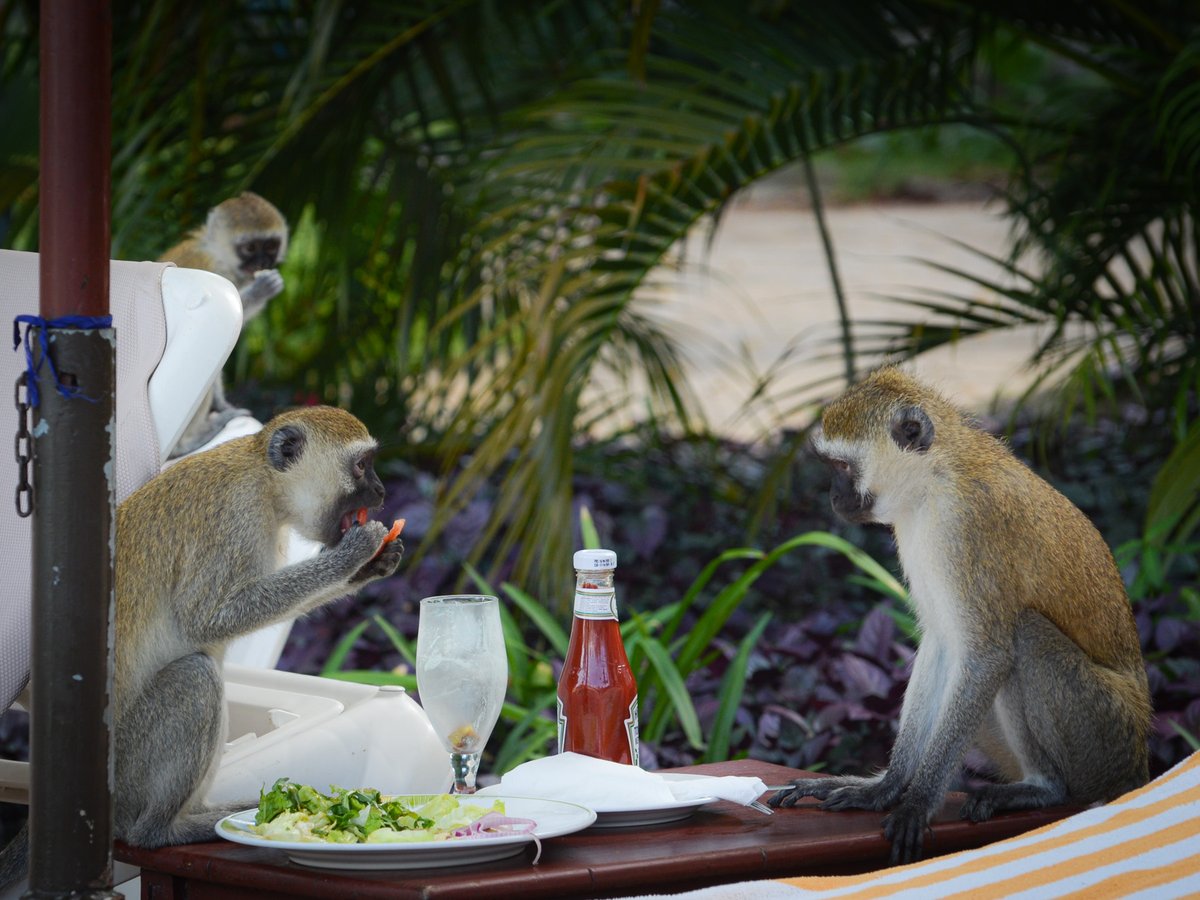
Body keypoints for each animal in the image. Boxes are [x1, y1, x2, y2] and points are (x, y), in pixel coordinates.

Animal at [159, 190, 290, 458]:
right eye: (250, 248)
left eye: (270, 246)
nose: (262, 263)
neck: (218, 256)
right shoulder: (213, 271)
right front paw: (260, 290)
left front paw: (221, 403)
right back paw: (188, 443)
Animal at [768, 367, 1152, 868]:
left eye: (841, 468)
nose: (832, 495)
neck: (934, 480)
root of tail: (1139, 760)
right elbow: (942, 644)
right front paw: (885, 787)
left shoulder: (968, 525)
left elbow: (986, 654)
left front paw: (917, 802)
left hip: (1104, 735)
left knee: (1025, 638)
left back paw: (1042, 788)